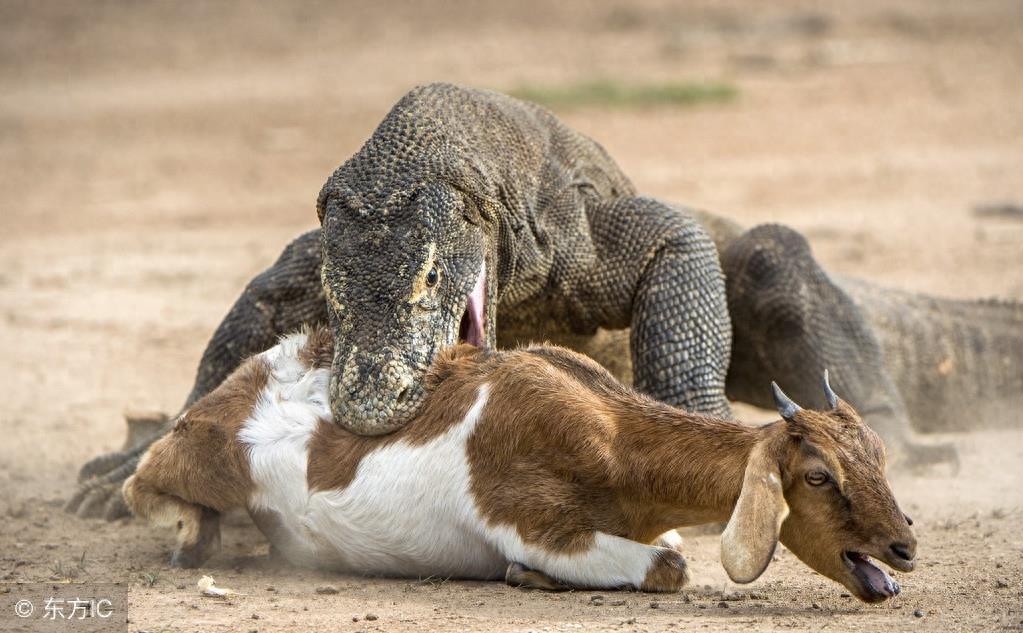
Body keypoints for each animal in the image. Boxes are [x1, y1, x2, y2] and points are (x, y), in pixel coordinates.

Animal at [123, 327, 916, 605]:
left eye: (878, 456)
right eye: (818, 475)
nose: (903, 545)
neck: (613, 437)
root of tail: (274, 360)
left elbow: (666, 549)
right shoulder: (533, 521)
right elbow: (669, 565)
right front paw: (523, 575)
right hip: (204, 454)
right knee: (142, 480)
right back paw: (194, 535)